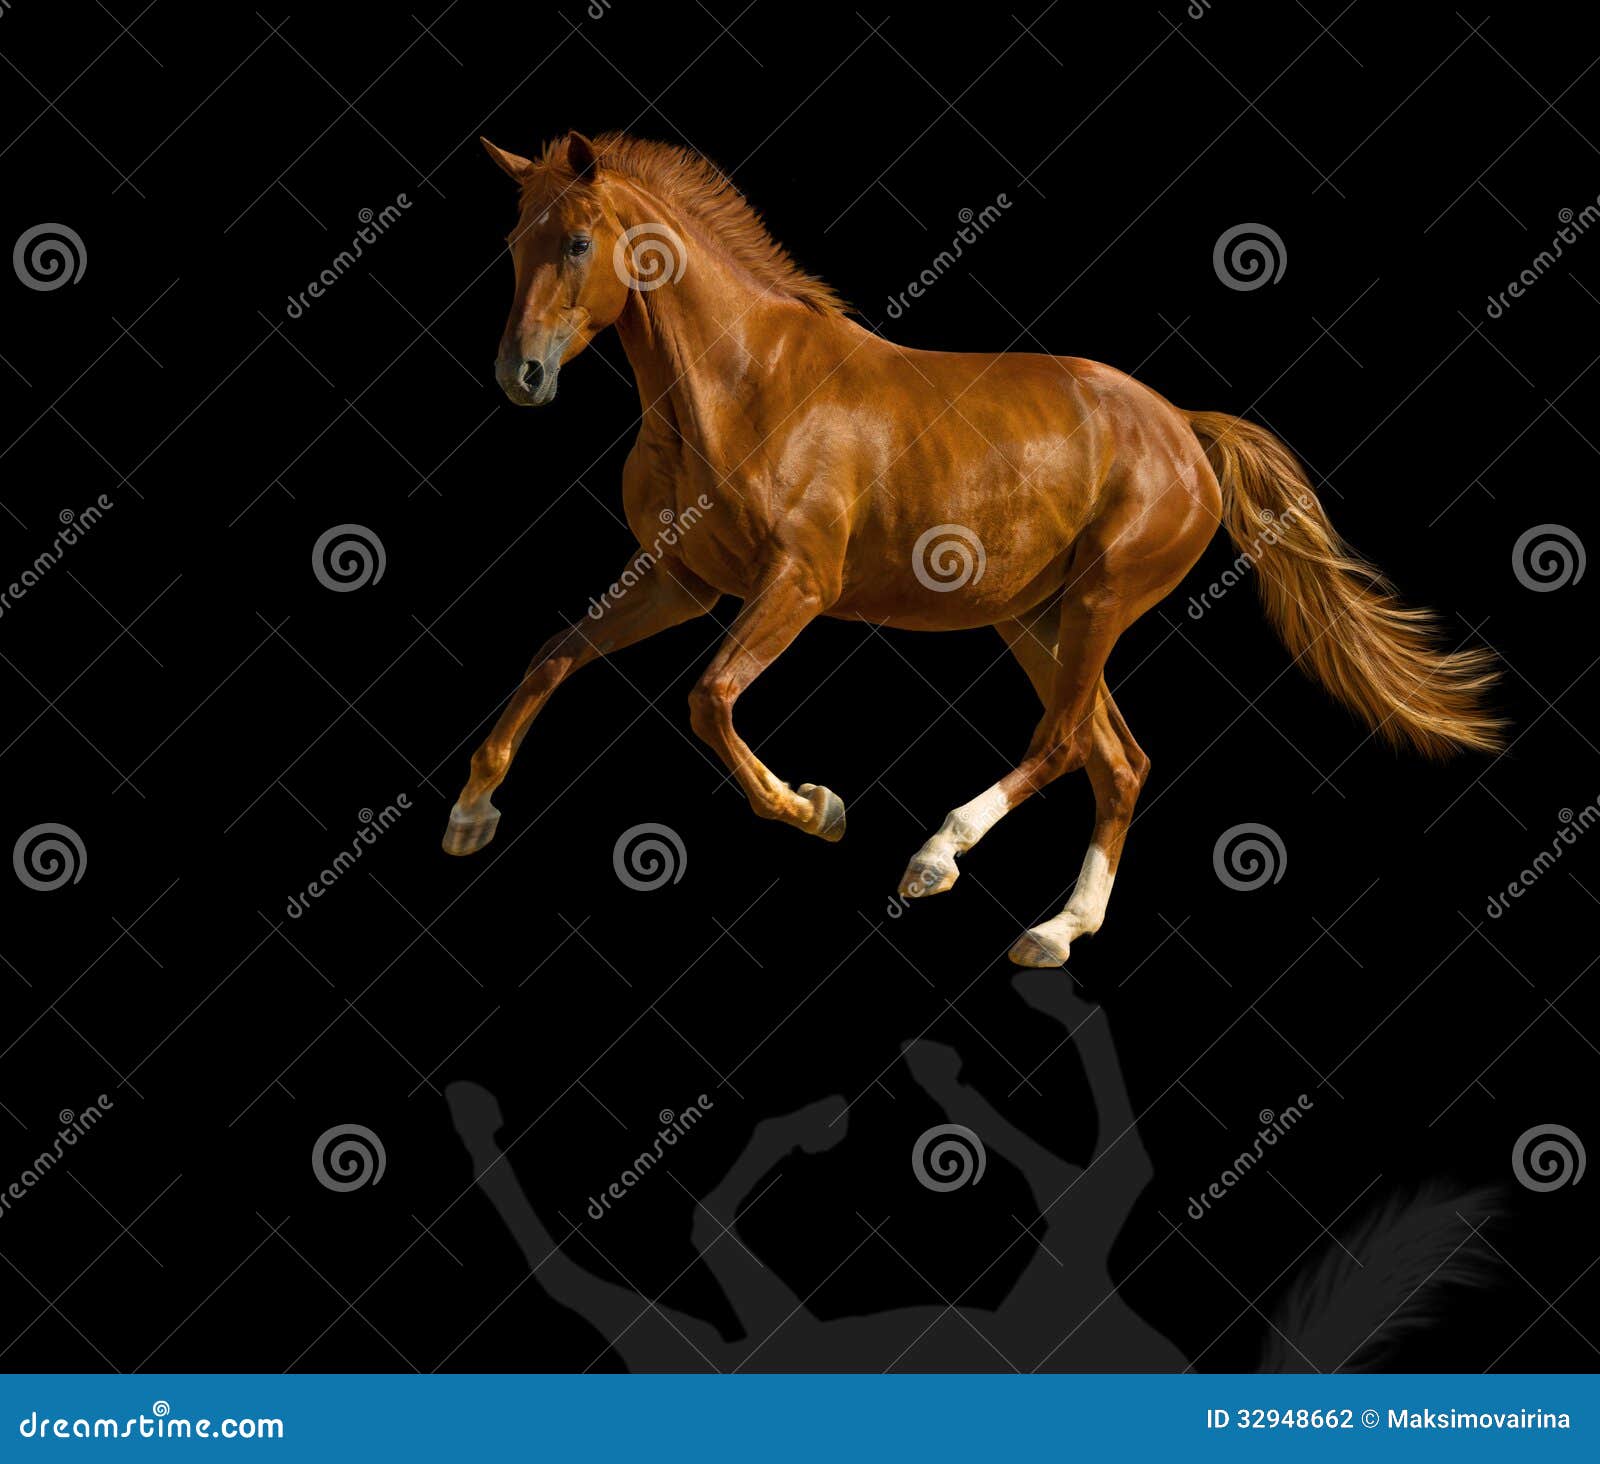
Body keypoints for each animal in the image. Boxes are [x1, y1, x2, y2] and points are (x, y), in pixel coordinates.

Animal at [444, 130, 1501, 969]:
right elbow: (554, 657)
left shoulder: (796, 584)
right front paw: (471, 813)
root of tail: (1184, 429)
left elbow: (709, 700)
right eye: (511, 243)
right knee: (1119, 761)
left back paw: (937, 857)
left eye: (579, 241)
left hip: (1100, 603)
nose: (520, 375)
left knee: (1066, 743)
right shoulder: (682, 582)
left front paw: (818, 808)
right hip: (1037, 620)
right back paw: (1056, 933)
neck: (739, 385)